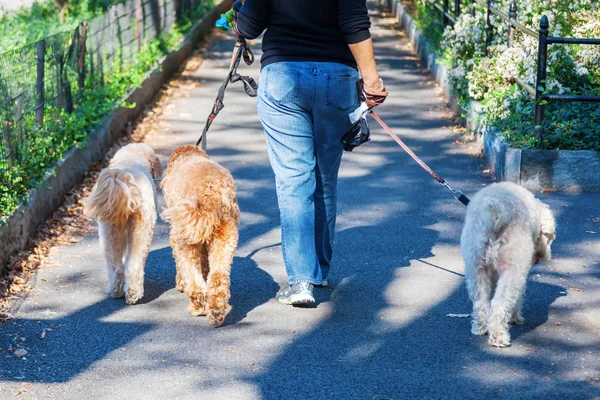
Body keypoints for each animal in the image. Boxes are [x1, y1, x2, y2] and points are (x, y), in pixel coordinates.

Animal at [83, 143, 162, 304]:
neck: (132, 158)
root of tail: (121, 178)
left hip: (109, 231)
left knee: (116, 267)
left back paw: (116, 291)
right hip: (141, 228)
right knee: (133, 264)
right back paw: (133, 294)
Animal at [162, 145, 241, 326]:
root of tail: (211, 194)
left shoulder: (180, 236)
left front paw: (180, 284)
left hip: (185, 240)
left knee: (194, 280)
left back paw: (198, 308)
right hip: (225, 238)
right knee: (218, 278)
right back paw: (216, 312)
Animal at [462, 181, 556, 346]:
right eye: (549, 238)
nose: (546, 255)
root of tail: (497, 209)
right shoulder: (518, 272)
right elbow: (517, 299)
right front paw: (515, 318)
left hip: (476, 269)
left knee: (481, 302)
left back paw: (480, 328)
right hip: (512, 271)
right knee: (500, 304)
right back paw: (498, 336)